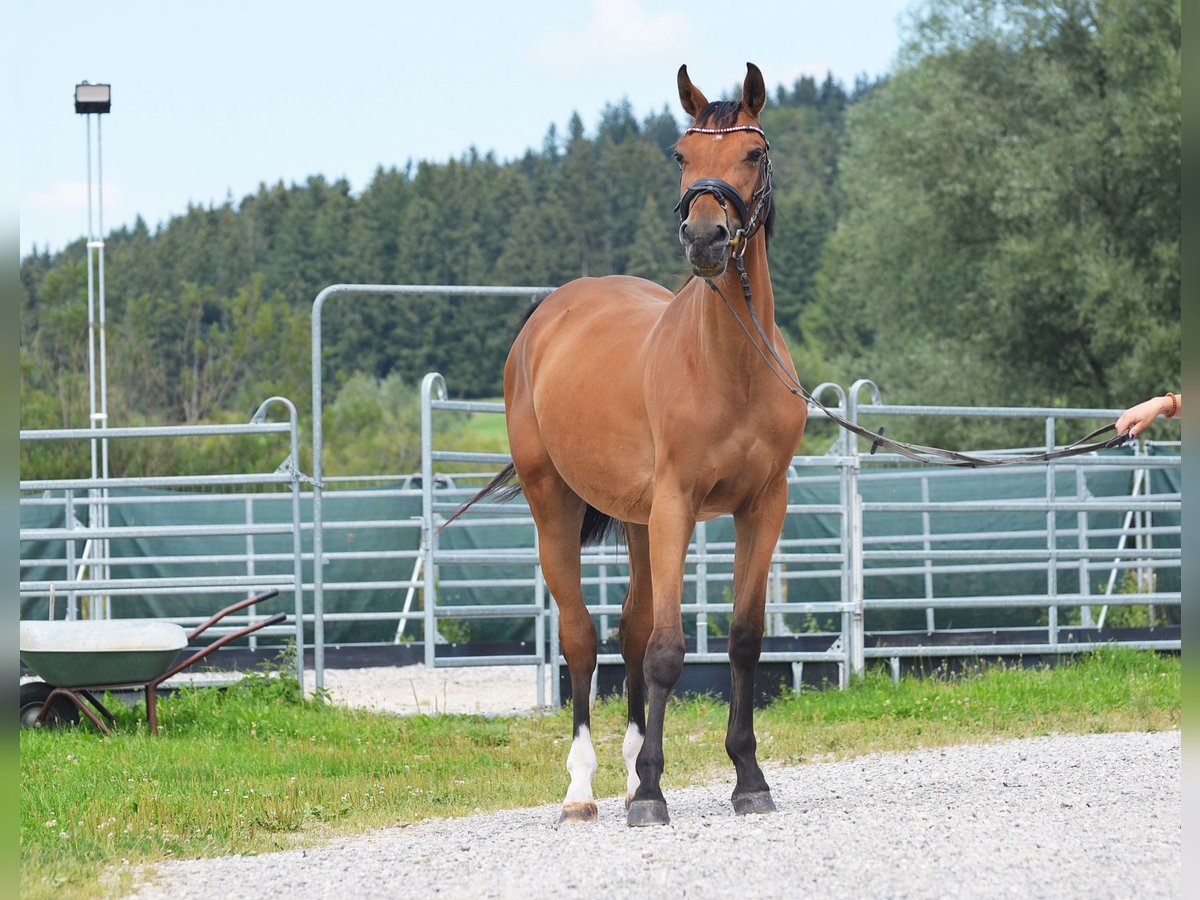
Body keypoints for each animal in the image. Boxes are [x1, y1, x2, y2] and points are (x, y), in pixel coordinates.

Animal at [451, 60, 806, 830]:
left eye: (752, 152)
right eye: (680, 154)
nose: (704, 237)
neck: (730, 364)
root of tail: (550, 314)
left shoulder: (763, 507)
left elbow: (740, 642)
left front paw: (747, 778)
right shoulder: (677, 506)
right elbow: (670, 651)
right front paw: (650, 793)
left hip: (640, 524)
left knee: (629, 634)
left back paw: (623, 769)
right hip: (554, 505)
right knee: (582, 639)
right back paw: (582, 789)